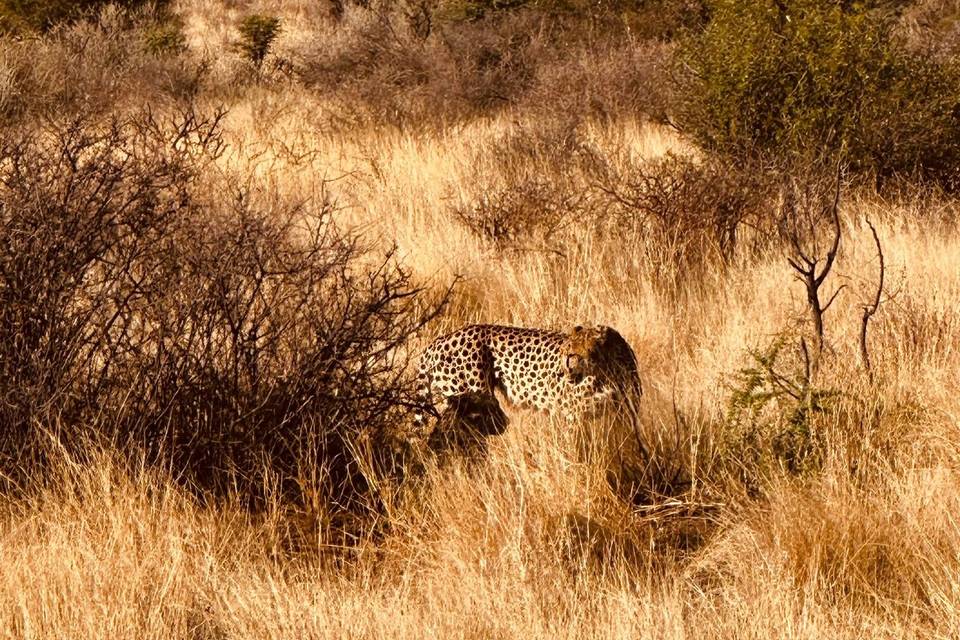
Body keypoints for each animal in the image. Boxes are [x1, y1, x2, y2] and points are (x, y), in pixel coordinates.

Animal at [414, 324, 644, 430]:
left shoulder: (626, 415)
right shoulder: (574, 416)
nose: (558, 373)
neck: (607, 372)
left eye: (571, 355)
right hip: (472, 397)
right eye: (563, 353)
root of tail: (438, 341)